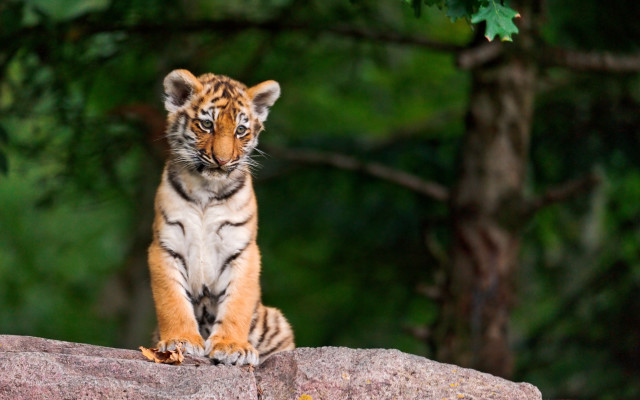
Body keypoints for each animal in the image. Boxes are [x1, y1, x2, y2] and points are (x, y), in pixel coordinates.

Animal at [147, 69, 294, 365]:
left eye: (240, 130)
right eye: (206, 125)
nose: (222, 160)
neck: (207, 189)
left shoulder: (243, 250)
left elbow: (237, 303)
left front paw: (231, 346)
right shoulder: (164, 246)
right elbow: (172, 300)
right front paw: (180, 340)